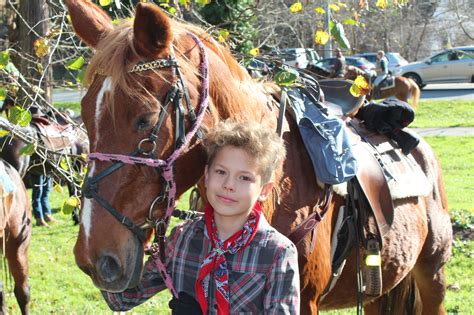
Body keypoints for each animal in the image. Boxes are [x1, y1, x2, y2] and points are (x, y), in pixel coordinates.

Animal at [66, 1, 452, 314]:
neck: (280, 185)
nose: (94, 258)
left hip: (433, 277)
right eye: (84, 116)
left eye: (145, 119)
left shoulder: (303, 299)